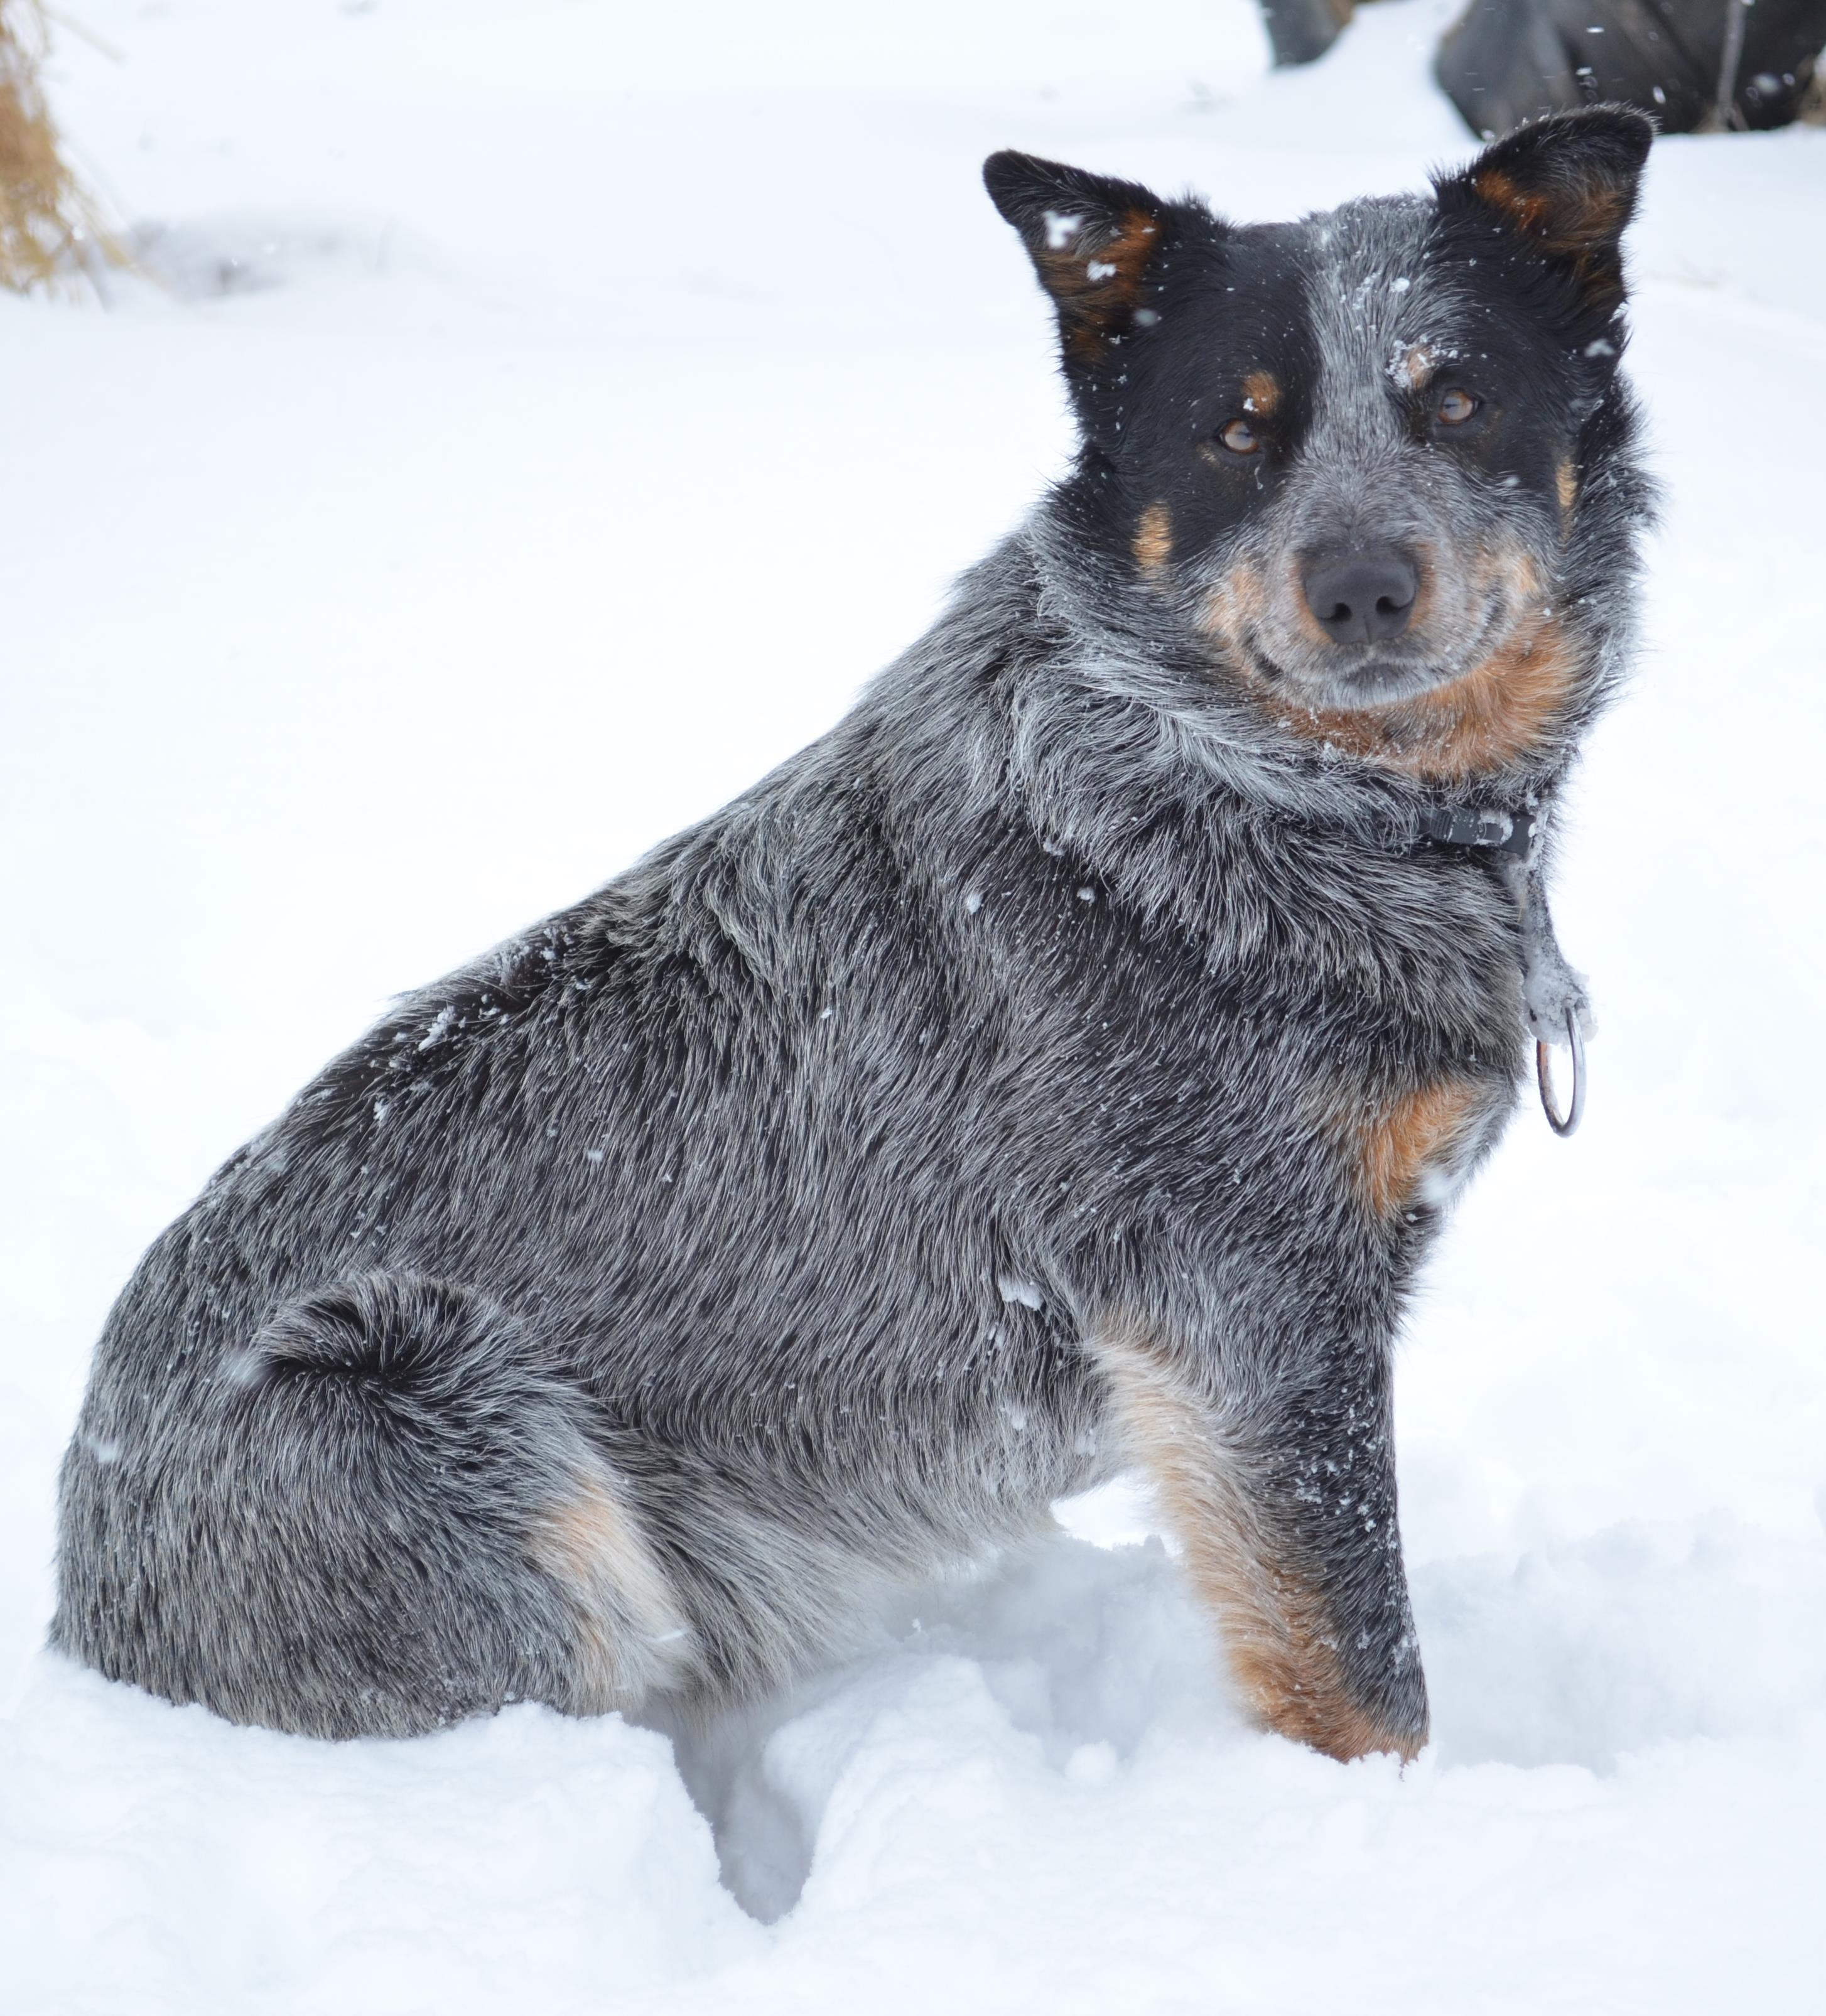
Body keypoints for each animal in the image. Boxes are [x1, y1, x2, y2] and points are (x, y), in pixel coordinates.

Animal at [57, 102, 1652, 1757]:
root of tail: (76, 1588)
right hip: (427, 1395)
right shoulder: (1248, 1305)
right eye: (1234, 430)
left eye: (1456, 400)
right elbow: (1361, 1671)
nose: (1358, 584)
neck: (1266, 788)